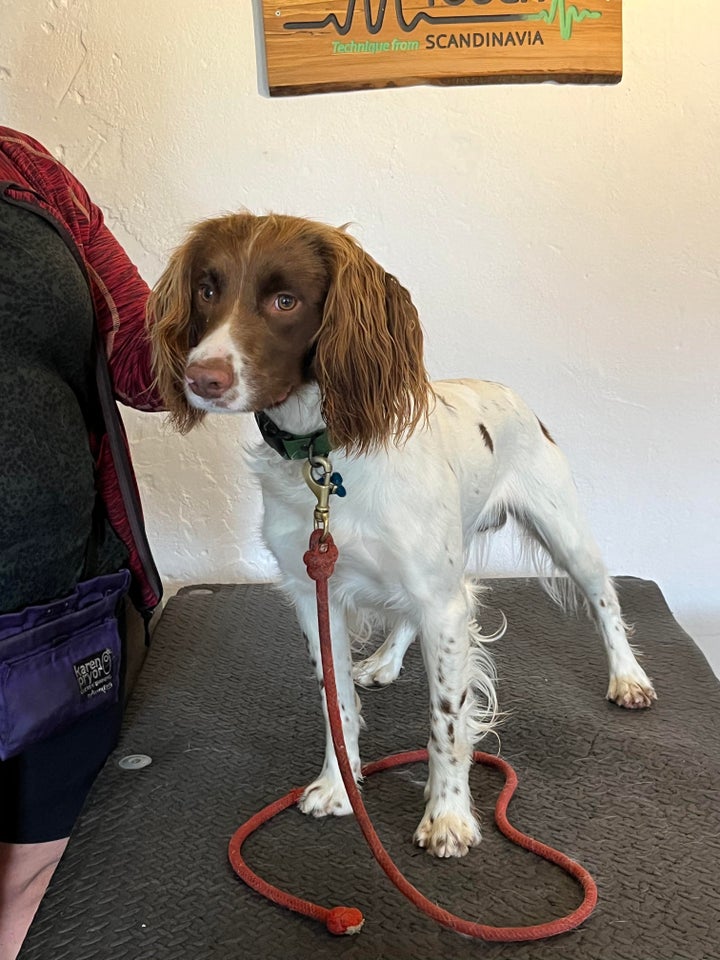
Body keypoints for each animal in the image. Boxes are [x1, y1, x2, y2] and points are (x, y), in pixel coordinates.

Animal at [149, 214, 656, 860]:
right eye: (208, 290)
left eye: (285, 300)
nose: (201, 378)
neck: (324, 457)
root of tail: (510, 393)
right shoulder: (316, 593)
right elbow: (336, 700)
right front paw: (338, 785)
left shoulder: (443, 601)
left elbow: (446, 718)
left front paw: (448, 816)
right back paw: (386, 662)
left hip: (564, 532)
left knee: (604, 599)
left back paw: (628, 678)